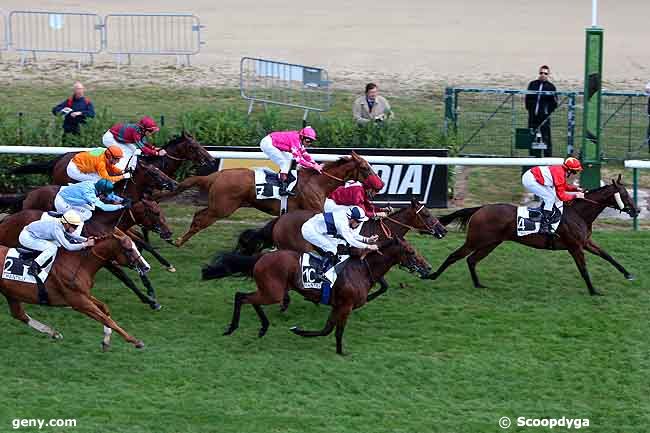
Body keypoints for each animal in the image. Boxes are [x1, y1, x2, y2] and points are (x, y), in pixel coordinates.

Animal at [0, 228, 149, 350]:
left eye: (135, 246)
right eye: (129, 249)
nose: (146, 267)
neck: (79, 264)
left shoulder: (84, 295)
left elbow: (104, 309)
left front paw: (106, 340)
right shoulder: (79, 302)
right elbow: (106, 318)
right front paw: (135, 340)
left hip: (10, 293)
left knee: (19, 314)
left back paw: (54, 333)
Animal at [154, 152, 374, 246]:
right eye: (365, 168)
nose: (378, 184)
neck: (318, 181)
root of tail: (216, 175)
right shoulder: (313, 211)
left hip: (218, 206)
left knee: (198, 215)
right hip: (222, 208)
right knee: (200, 219)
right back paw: (179, 241)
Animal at [200, 236, 428, 354]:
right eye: (410, 252)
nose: (427, 267)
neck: (362, 270)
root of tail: (261, 258)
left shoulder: (338, 306)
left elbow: (326, 330)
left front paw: (299, 331)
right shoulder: (345, 306)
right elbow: (336, 331)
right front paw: (341, 352)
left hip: (270, 291)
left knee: (249, 299)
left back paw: (263, 328)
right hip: (273, 292)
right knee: (241, 296)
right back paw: (233, 328)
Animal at [428, 174, 636, 296]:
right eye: (625, 195)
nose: (637, 210)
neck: (579, 213)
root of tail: (480, 208)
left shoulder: (585, 242)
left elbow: (607, 256)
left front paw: (628, 274)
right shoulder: (575, 247)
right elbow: (583, 269)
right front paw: (593, 291)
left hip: (491, 243)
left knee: (471, 260)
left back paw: (479, 285)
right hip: (476, 240)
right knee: (454, 256)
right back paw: (432, 275)